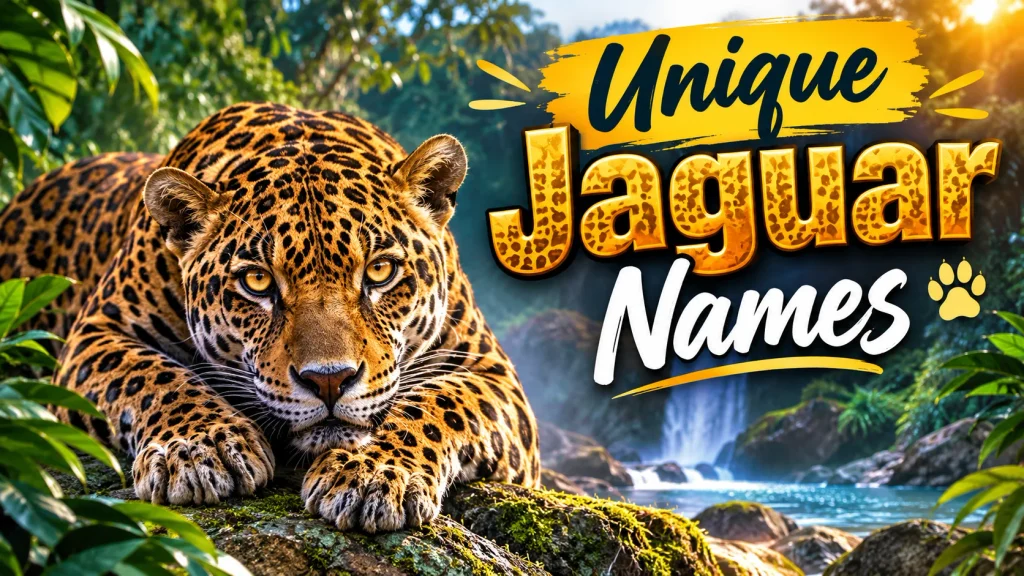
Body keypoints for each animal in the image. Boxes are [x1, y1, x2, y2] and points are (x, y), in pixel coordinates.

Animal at [0, 101, 540, 532]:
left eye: (380, 271)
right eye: (258, 282)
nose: (329, 381)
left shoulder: (492, 373)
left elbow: (435, 403)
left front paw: (370, 474)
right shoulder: (98, 333)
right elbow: (152, 376)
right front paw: (201, 447)